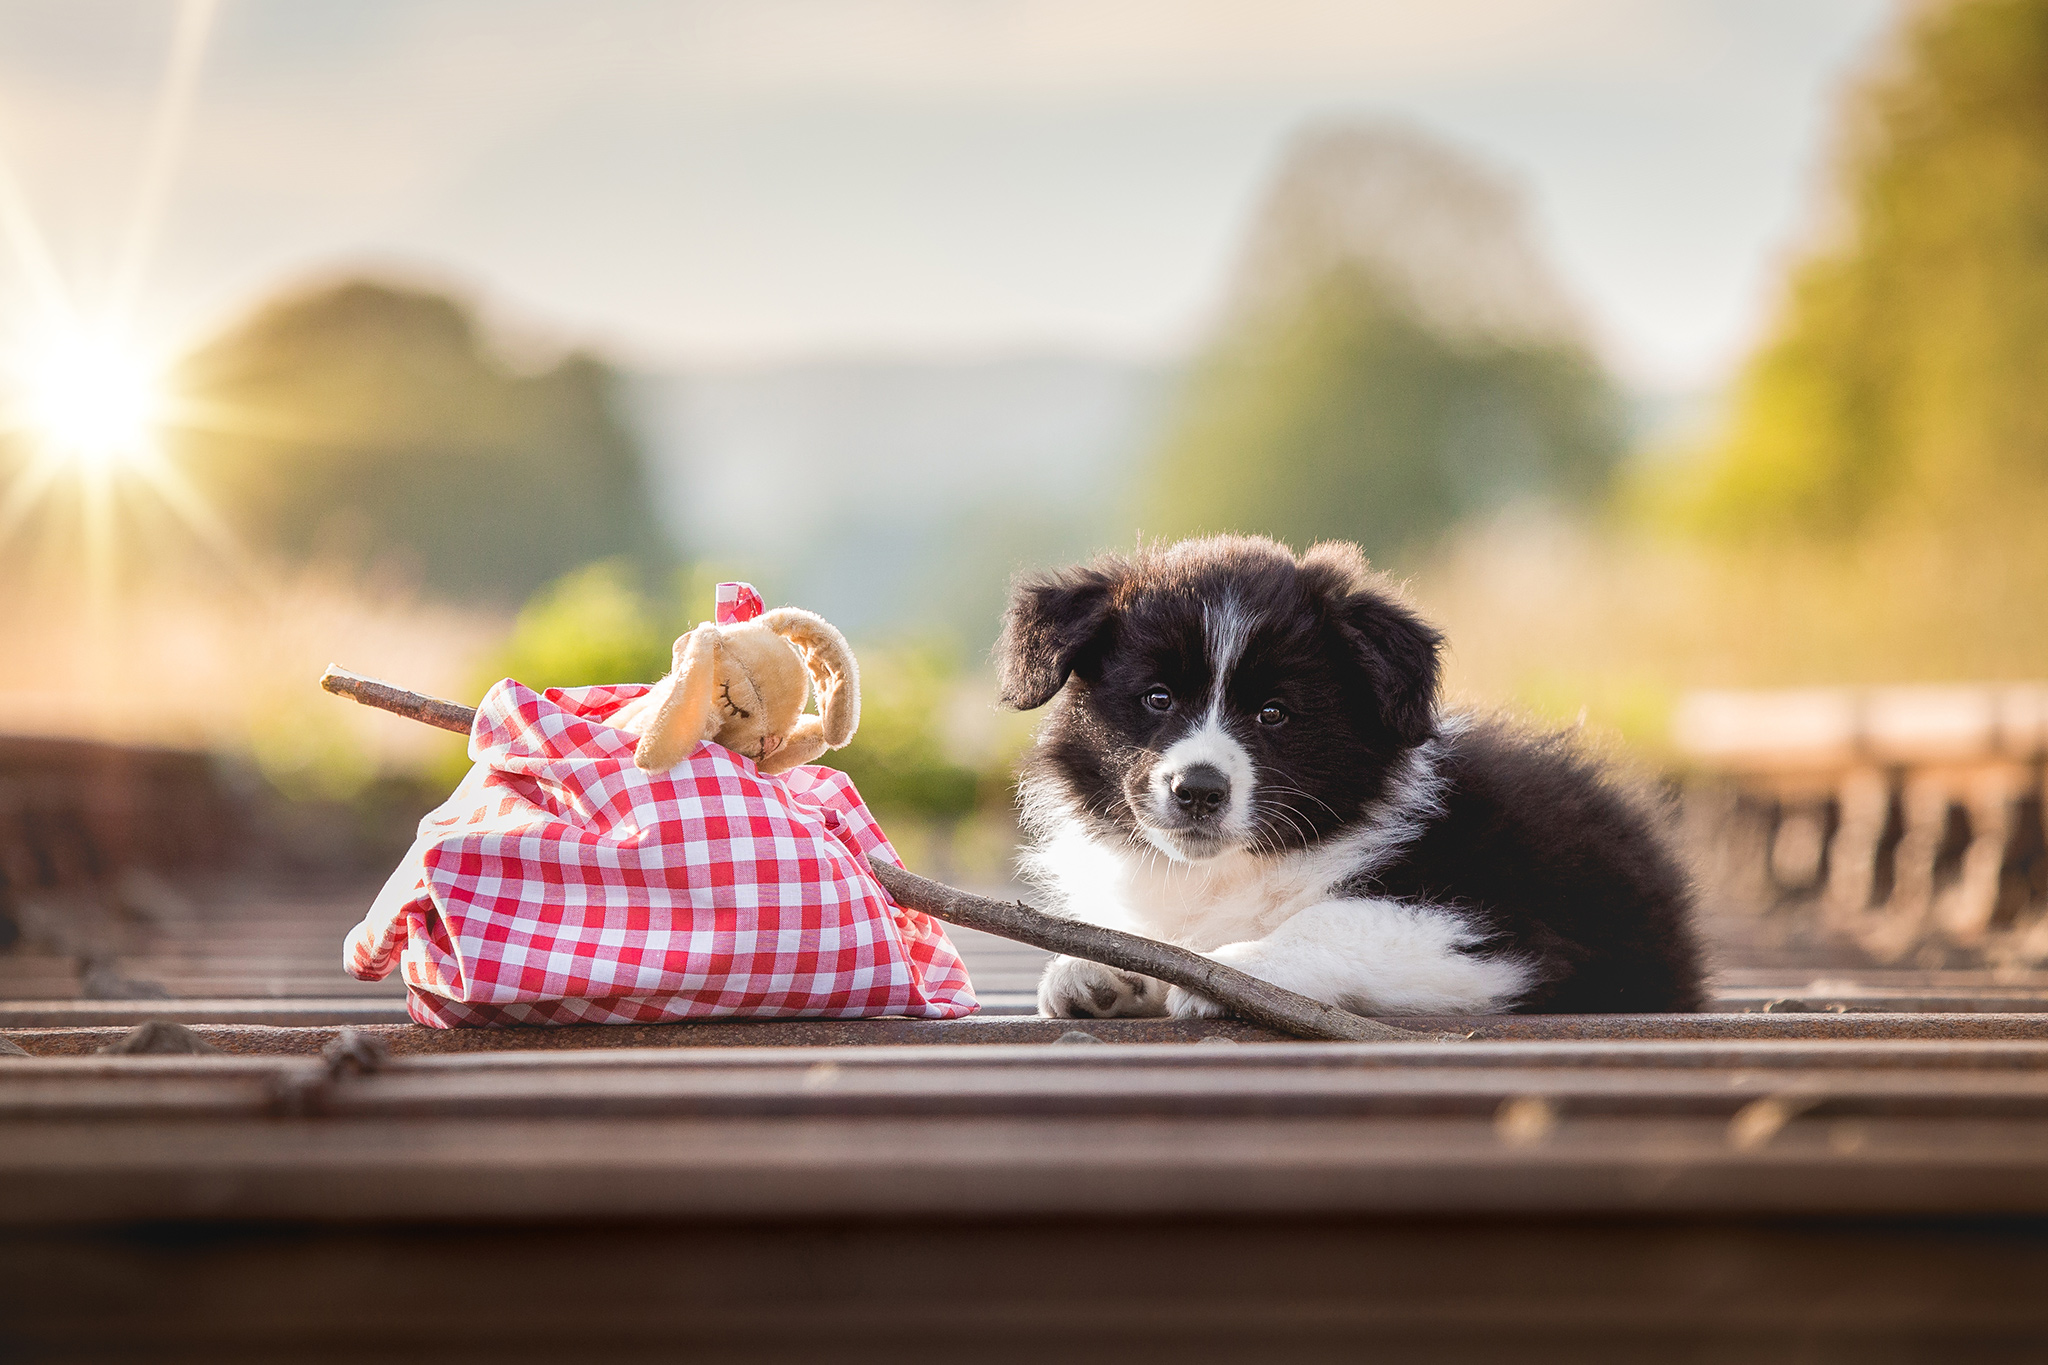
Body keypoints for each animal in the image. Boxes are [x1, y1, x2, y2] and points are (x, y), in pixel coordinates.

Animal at [999, 540, 1703, 1019]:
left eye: (1274, 713)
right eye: (1158, 698)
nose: (1197, 790)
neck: (1236, 868)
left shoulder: (1502, 934)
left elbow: (1337, 917)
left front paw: (1232, 969)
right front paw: (1099, 973)